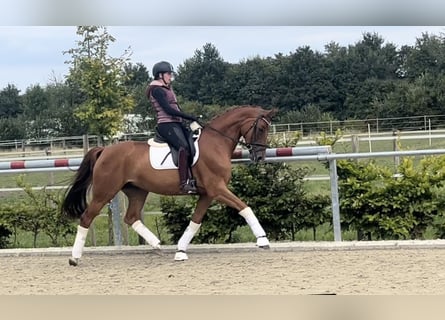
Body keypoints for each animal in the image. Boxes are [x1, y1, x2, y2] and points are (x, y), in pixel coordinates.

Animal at [62, 104, 278, 264]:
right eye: (261, 128)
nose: (259, 157)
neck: (216, 143)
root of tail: (104, 150)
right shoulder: (217, 189)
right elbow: (245, 207)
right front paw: (262, 239)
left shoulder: (207, 193)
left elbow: (195, 221)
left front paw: (180, 251)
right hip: (105, 192)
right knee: (86, 217)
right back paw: (74, 258)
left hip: (137, 191)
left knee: (131, 217)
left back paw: (157, 244)